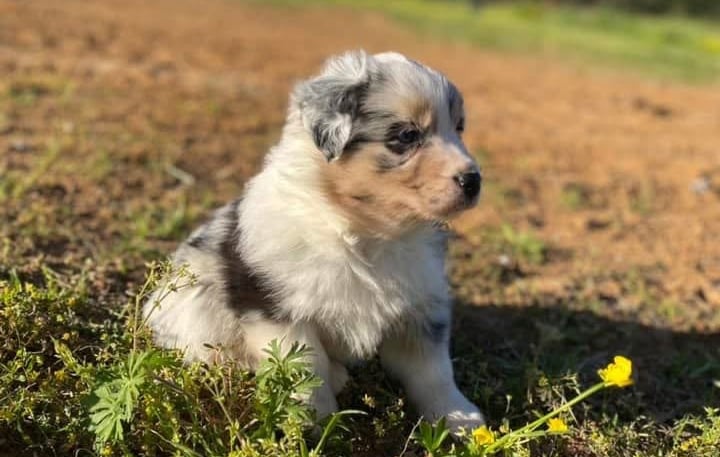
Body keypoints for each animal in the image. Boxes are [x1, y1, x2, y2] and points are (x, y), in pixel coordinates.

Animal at [144, 50, 484, 431]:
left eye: (459, 127)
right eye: (407, 135)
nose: (473, 181)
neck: (368, 234)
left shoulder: (422, 306)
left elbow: (434, 371)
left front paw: (459, 418)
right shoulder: (279, 311)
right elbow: (307, 367)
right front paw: (314, 421)